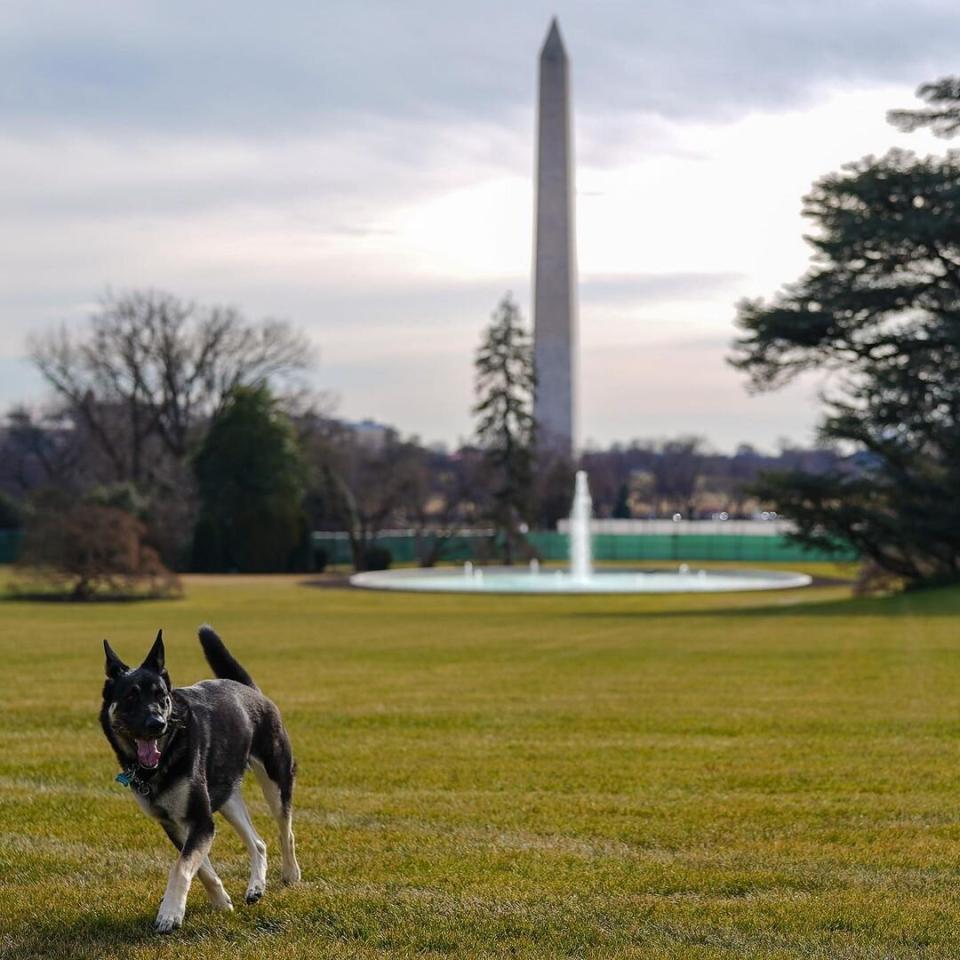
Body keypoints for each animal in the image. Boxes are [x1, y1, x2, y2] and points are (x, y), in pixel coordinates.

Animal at [101, 624, 300, 928]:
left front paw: (170, 912)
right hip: (226, 797)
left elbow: (181, 867)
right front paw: (220, 902)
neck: (167, 751)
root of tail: (251, 690)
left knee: (285, 830)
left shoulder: (201, 820)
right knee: (258, 843)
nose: (157, 724)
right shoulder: (176, 824)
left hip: (275, 780)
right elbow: (199, 868)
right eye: (131, 697)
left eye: (162, 696)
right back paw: (255, 887)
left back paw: (290, 873)